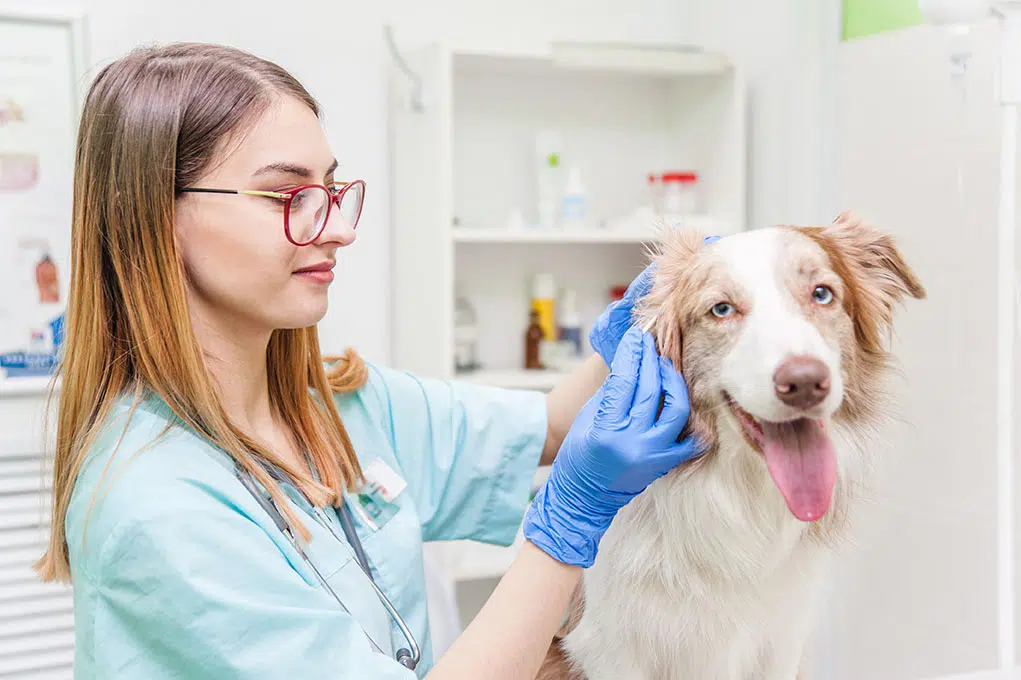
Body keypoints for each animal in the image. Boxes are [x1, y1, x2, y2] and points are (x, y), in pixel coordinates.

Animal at [539, 213, 931, 677]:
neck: (739, 494)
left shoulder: (781, 639)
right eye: (721, 309)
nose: (805, 382)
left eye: (821, 294)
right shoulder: (609, 647)